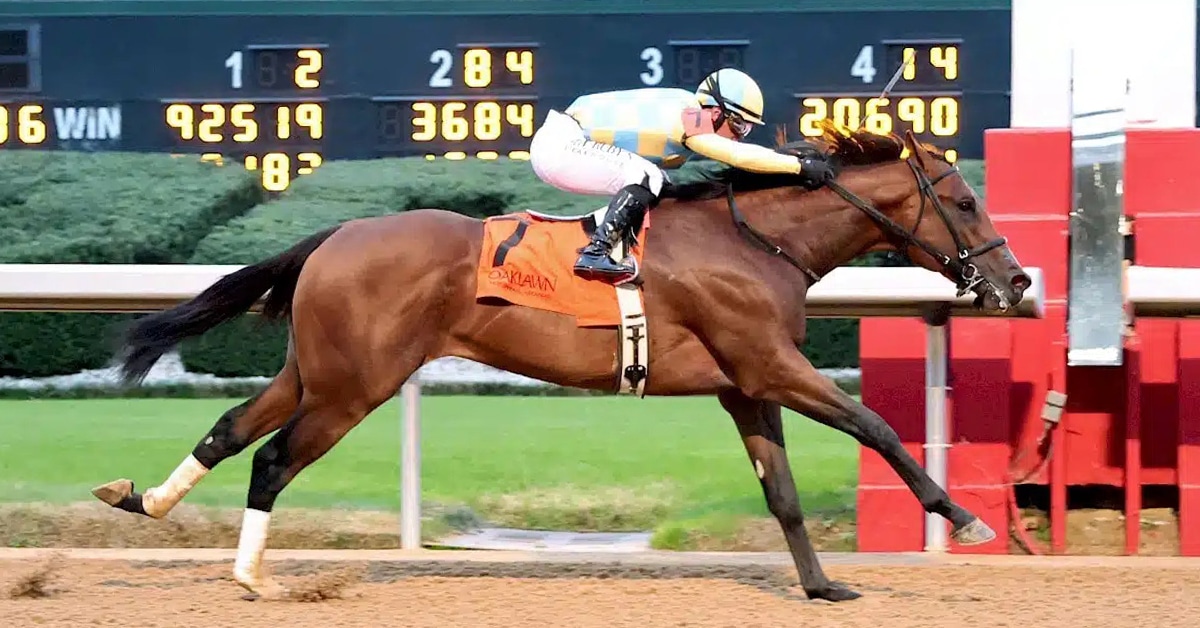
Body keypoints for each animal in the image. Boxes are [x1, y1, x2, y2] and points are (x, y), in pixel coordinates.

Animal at [90, 123, 1032, 602]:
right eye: (962, 199)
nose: (1017, 282)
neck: (756, 241)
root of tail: (337, 234)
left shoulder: (745, 385)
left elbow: (786, 495)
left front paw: (824, 587)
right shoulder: (771, 365)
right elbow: (876, 425)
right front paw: (964, 519)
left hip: (317, 371)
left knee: (229, 429)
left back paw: (142, 498)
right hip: (355, 386)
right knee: (276, 458)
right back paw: (252, 576)